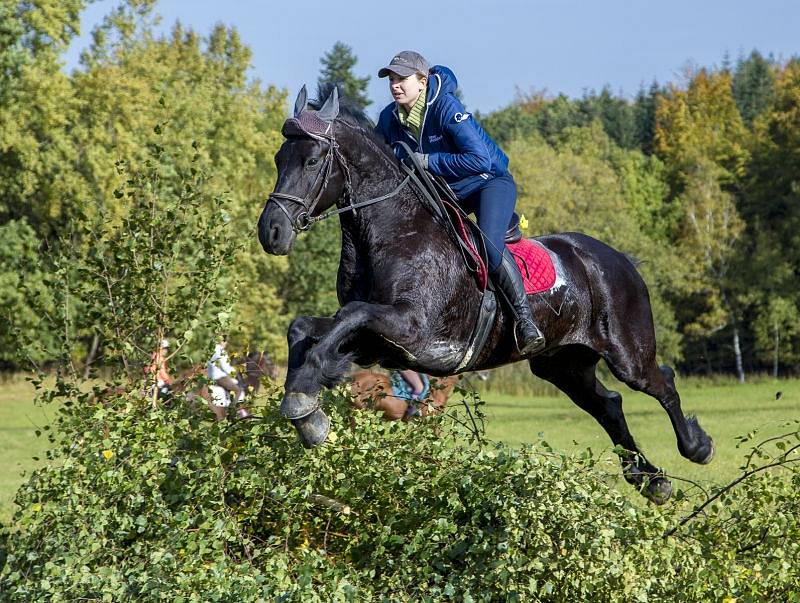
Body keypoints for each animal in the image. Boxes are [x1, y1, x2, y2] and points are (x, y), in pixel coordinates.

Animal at [256, 88, 712, 504]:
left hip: (626, 352)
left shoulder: (412, 328)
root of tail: (618, 258)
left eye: (312, 160)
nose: (271, 232)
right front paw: (305, 407)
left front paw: (303, 397)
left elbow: (351, 313)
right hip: (563, 364)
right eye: (279, 159)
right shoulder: (376, 345)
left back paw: (696, 447)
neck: (392, 231)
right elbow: (307, 327)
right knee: (609, 405)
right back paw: (649, 478)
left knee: (661, 384)